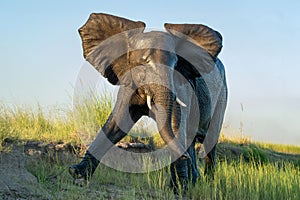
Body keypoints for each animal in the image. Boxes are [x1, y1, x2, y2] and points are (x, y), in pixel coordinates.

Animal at [68, 12, 227, 194]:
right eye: (142, 64)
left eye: (176, 65)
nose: (183, 156)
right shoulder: (130, 81)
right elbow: (117, 123)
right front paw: (76, 173)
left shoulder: (181, 86)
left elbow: (176, 126)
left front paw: (179, 190)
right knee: (192, 140)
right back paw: (194, 179)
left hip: (223, 95)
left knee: (209, 140)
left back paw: (208, 184)